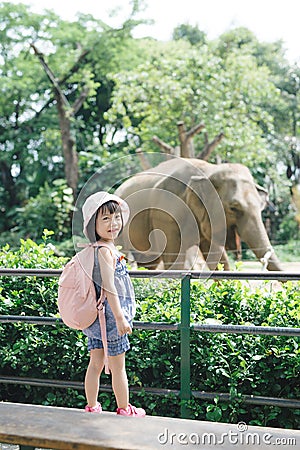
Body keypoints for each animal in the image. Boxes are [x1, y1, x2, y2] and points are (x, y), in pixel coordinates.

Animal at [114, 158, 282, 270]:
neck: (208, 170)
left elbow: (217, 256)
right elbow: (174, 259)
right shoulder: (166, 214)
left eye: (261, 206)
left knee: (150, 263)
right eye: (233, 208)